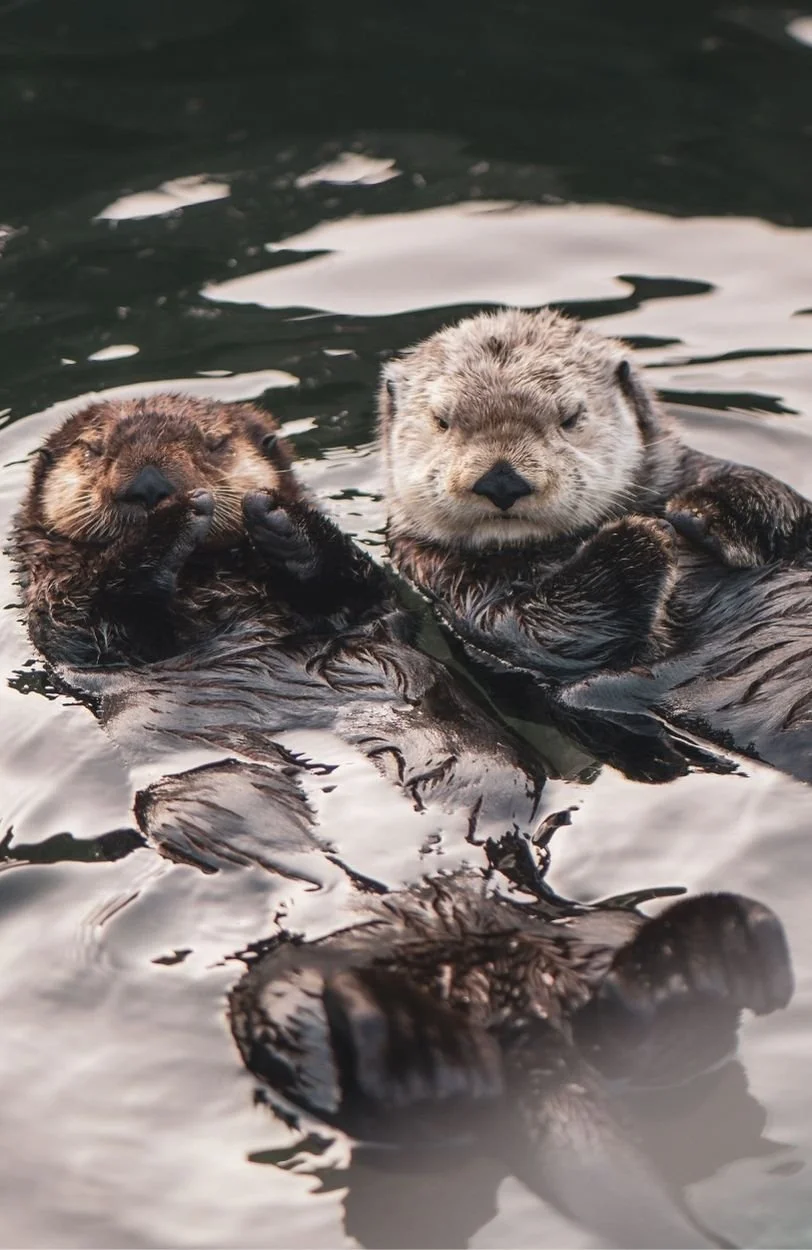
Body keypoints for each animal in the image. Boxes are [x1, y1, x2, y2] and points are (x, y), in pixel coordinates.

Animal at [12, 393, 551, 884]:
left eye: (215, 444)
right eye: (94, 448)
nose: (149, 485)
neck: (206, 575)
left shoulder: (362, 609)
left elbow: (356, 589)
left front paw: (281, 520)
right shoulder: (62, 604)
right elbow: (88, 617)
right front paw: (171, 522)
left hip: (475, 753)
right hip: (211, 792)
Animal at [379, 308, 812, 780]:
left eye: (570, 417)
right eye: (441, 421)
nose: (502, 480)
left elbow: (791, 512)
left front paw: (707, 511)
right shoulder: (455, 585)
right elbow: (543, 630)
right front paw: (641, 539)